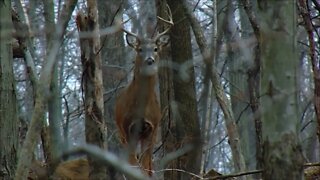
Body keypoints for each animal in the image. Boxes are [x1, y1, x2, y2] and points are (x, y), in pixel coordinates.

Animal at [115, 7, 172, 176]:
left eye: (155, 49)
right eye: (140, 49)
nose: (150, 59)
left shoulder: (152, 129)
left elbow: (146, 167)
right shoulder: (127, 128)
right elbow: (133, 165)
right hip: (121, 132)